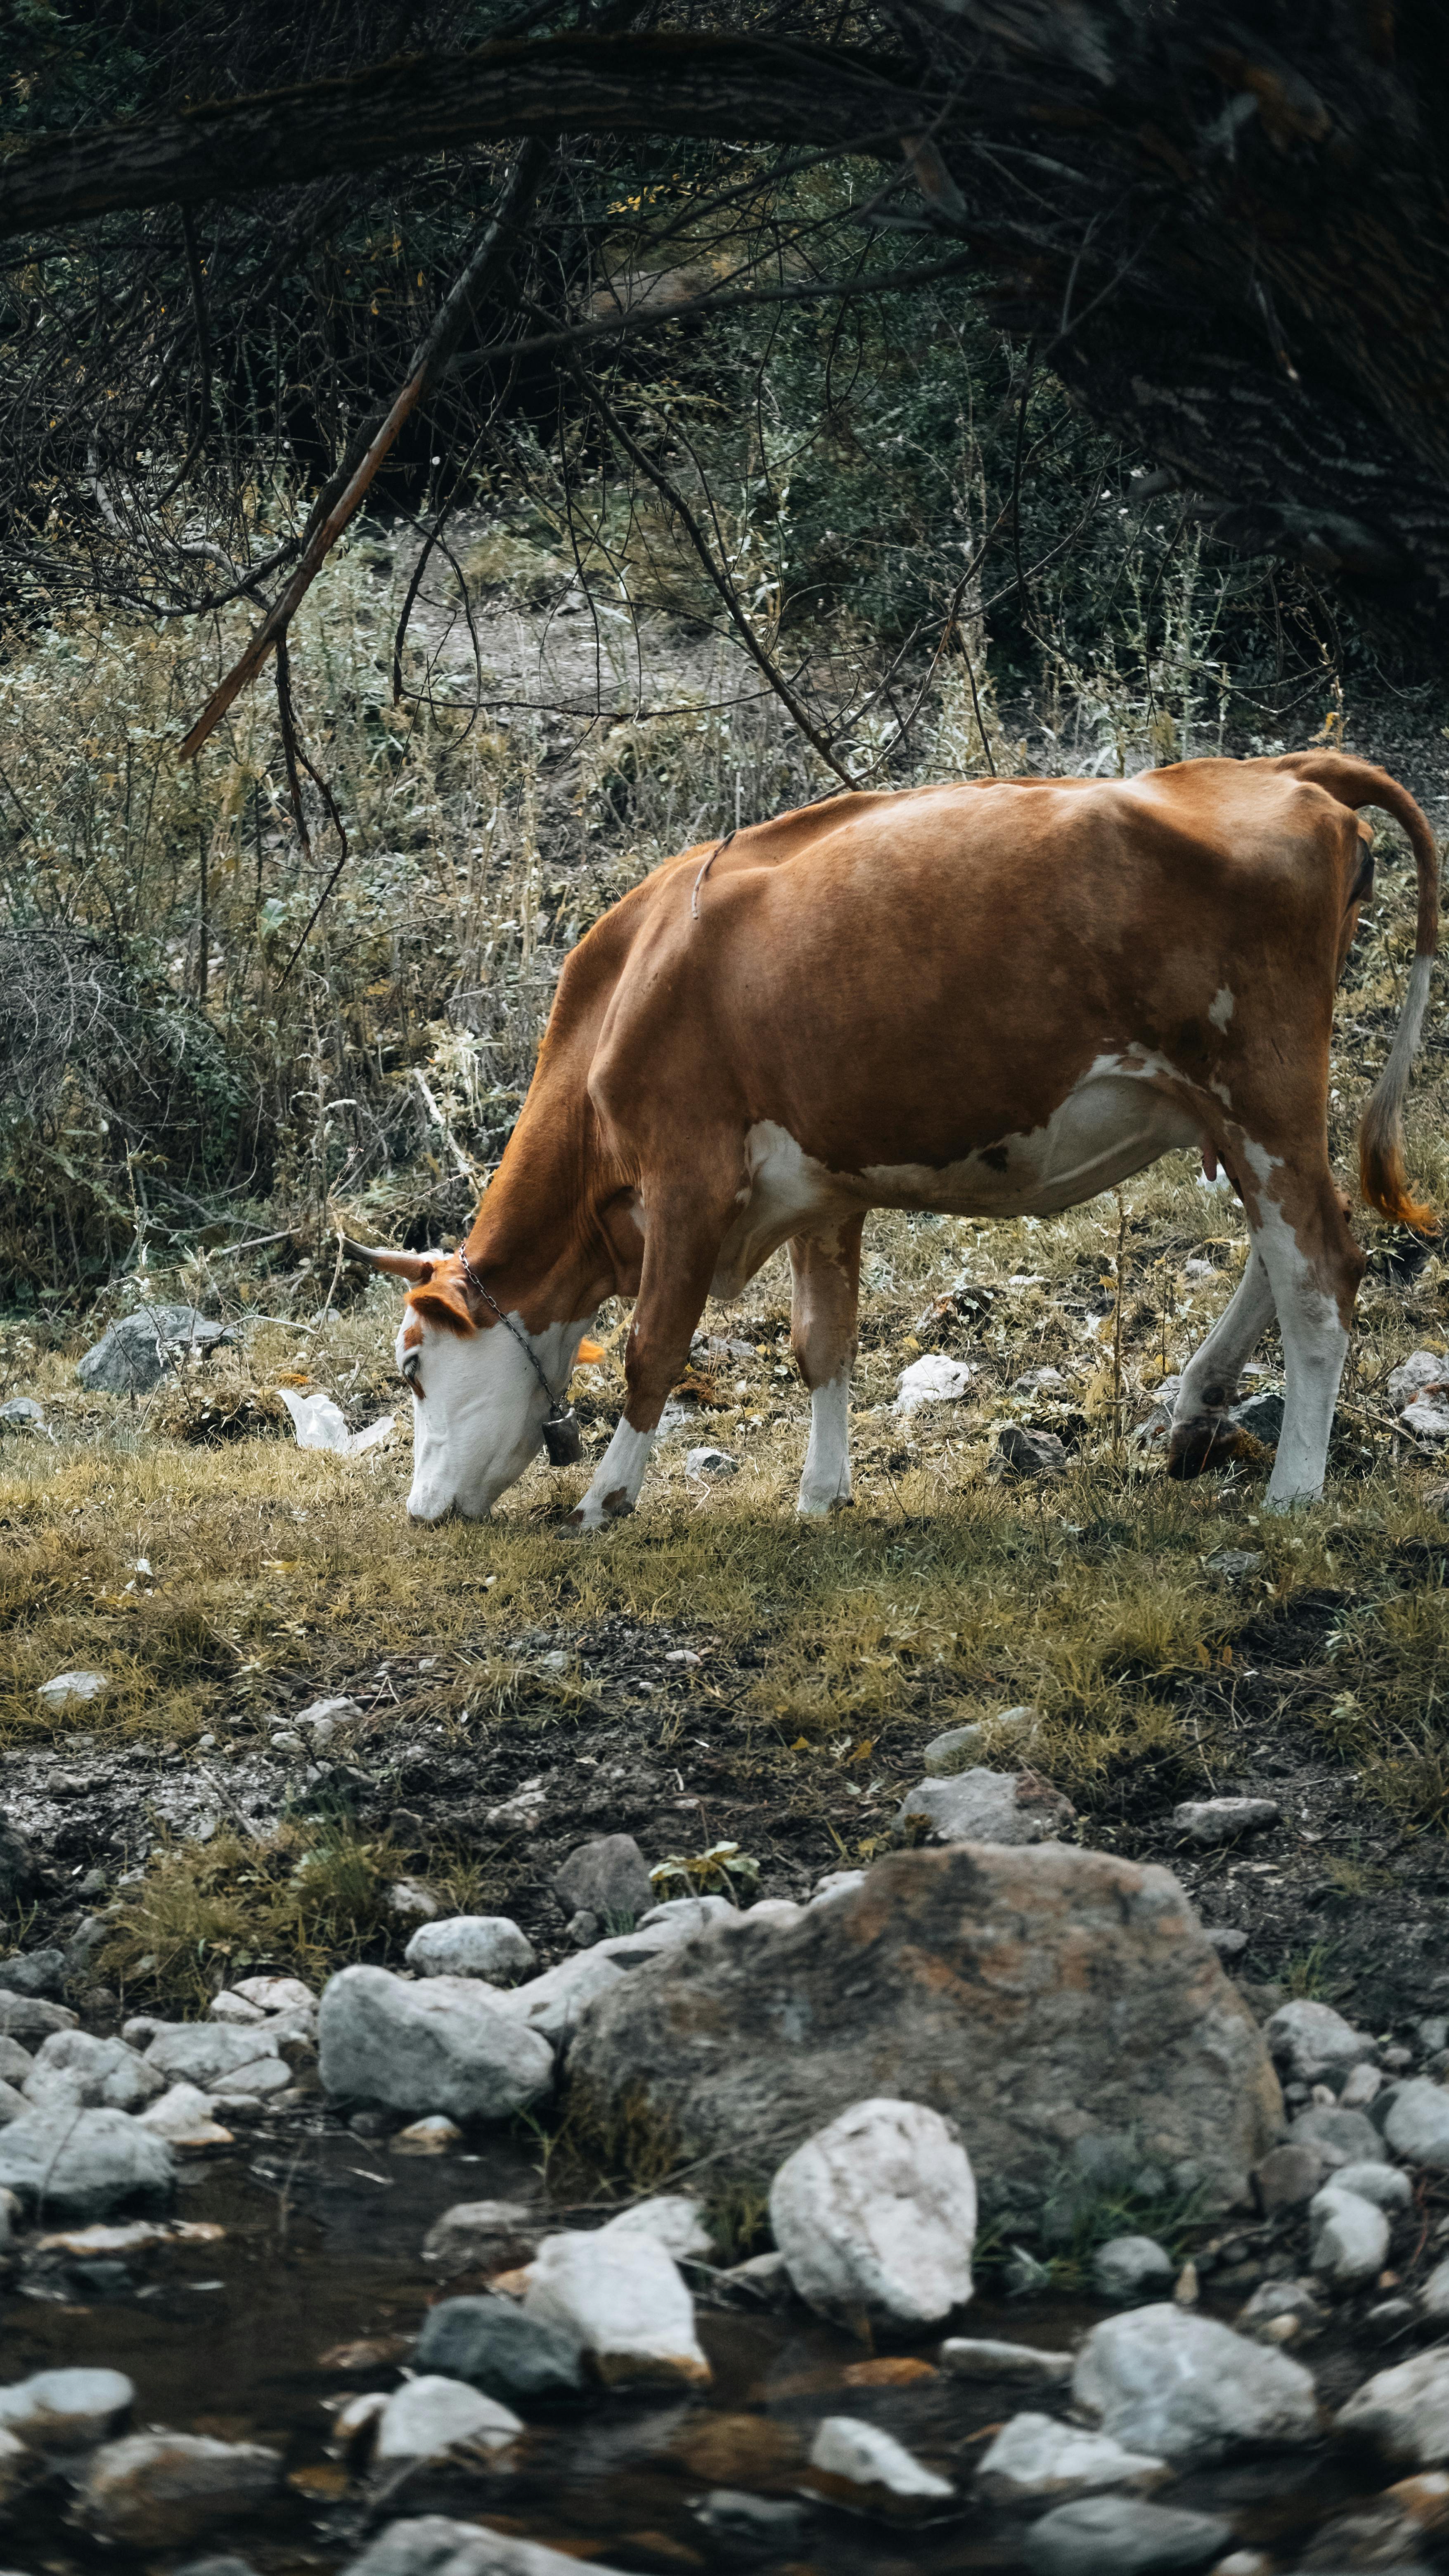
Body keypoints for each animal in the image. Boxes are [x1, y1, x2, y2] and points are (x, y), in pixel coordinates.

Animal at [340, 752, 1433, 1535]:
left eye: (412, 1366)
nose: (419, 1513)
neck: (628, 988)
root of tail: (1280, 767)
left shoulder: (688, 1173)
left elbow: (654, 1349)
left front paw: (606, 1499)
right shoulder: (822, 1189)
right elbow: (821, 1341)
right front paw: (821, 1494)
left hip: (1261, 1088)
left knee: (1321, 1271)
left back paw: (1293, 1488)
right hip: (1233, 1114)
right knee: (1280, 1250)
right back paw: (1202, 1399)